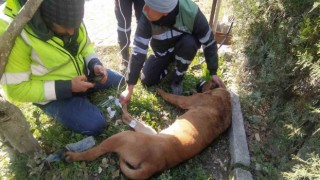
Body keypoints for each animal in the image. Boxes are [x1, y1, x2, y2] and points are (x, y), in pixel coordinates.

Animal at [63, 81, 231, 179]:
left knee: (92, 153)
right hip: (149, 131)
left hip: (123, 136)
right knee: (130, 120)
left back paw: (72, 156)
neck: (225, 98)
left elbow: (171, 95)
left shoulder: (185, 100)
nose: (200, 83)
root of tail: (153, 165)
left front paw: (160, 90)